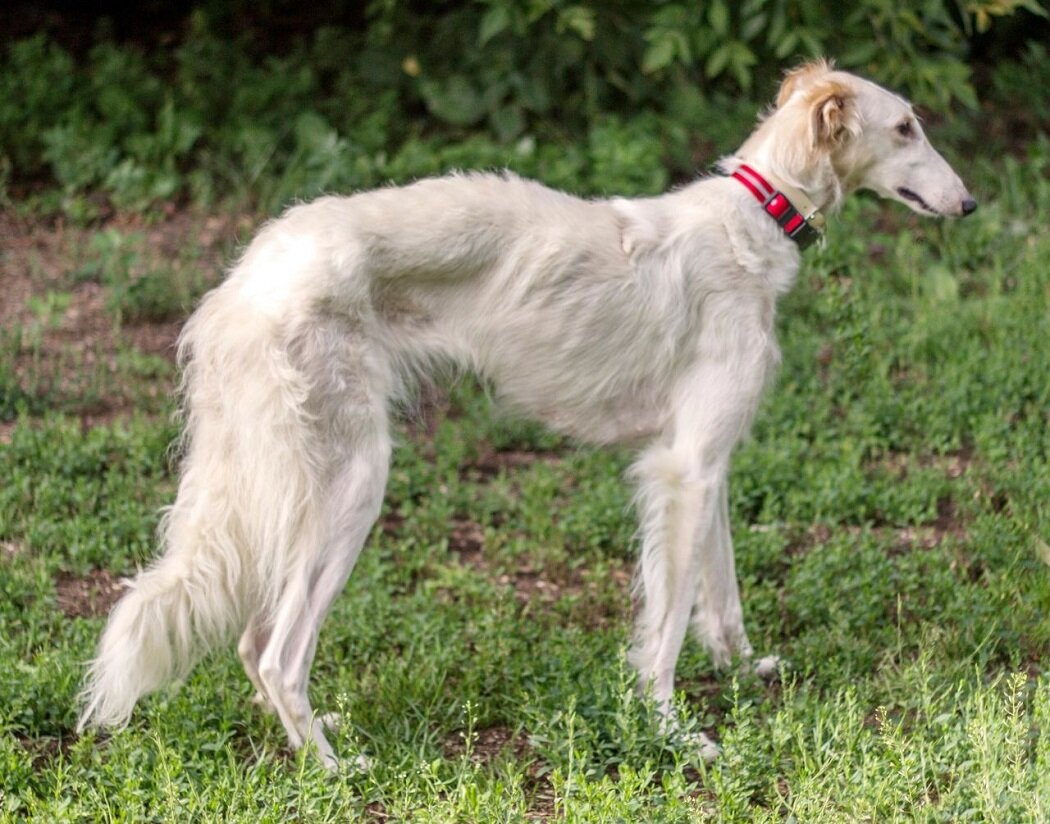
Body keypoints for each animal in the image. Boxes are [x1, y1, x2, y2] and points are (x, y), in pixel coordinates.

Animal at [79, 62, 974, 764]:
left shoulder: (707, 462)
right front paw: (672, 733)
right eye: (905, 127)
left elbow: (718, 600)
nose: (968, 205)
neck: (754, 220)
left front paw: (742, 671)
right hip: (353, 482)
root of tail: (247, 273)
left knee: (251, 643)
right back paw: (331, 767)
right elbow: (665, 630)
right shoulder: (682, 469)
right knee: (273, 652)